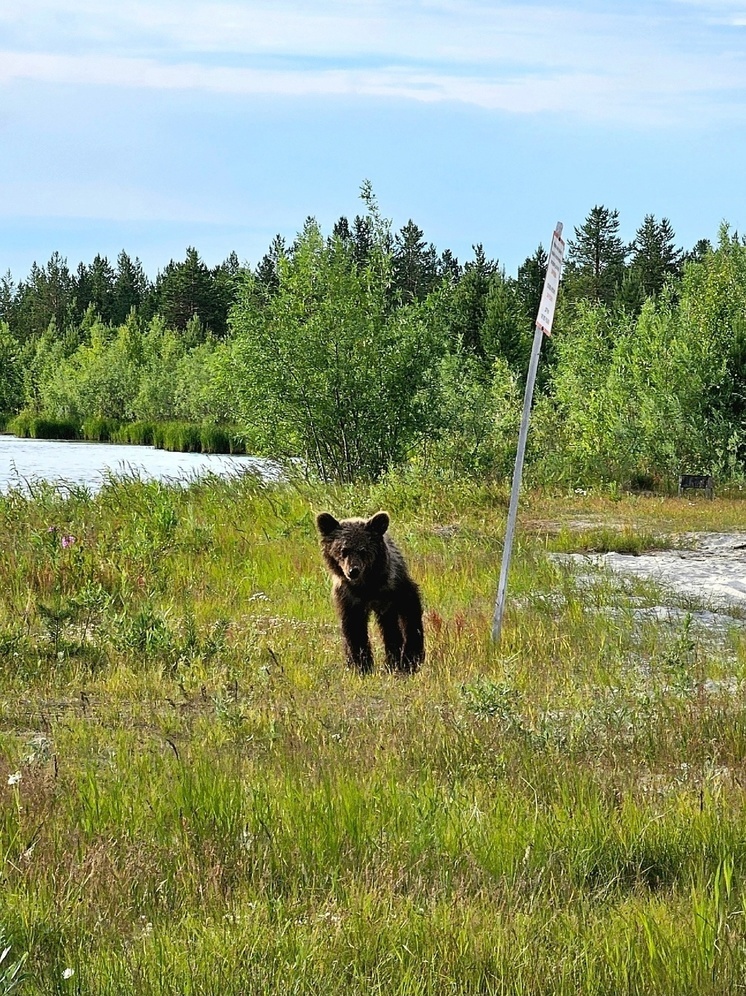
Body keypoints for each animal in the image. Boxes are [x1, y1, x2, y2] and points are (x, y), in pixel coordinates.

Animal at [314, 510, 424, 672]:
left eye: (363, 550)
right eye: (343, 550)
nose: (353, 571)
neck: (366, 587)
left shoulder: (393, 587)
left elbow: (410, 613)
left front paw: (410, 658)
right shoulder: (349, 598)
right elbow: (355, 630)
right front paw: (362, 664)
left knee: (391, 627)